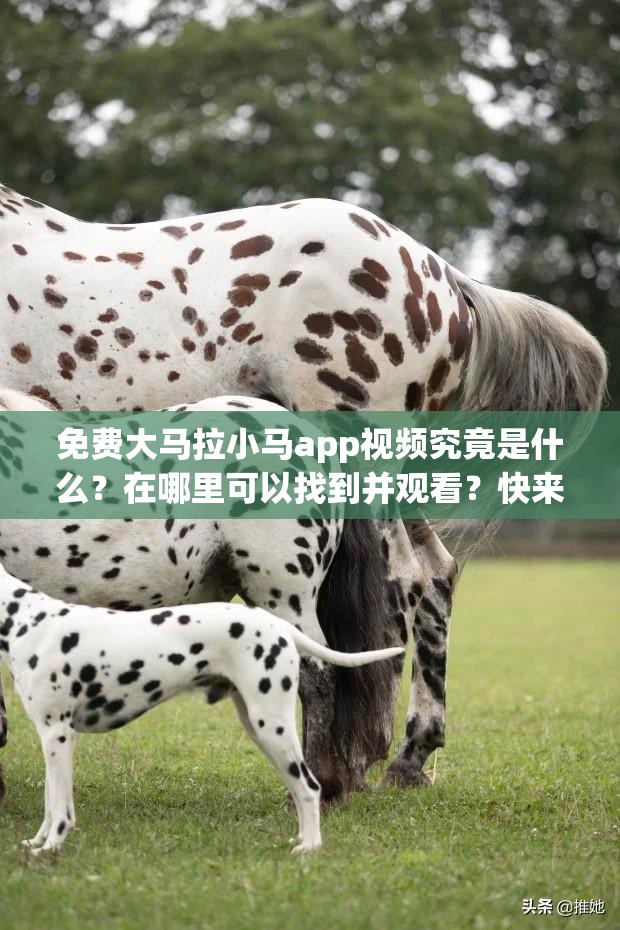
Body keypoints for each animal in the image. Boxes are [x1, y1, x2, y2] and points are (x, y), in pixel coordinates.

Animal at [0, 182, 607, 802]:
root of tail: (441, 276)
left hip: (362, 466)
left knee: (402, 586)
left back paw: (340, 769)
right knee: (437, 577)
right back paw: (408, 757)